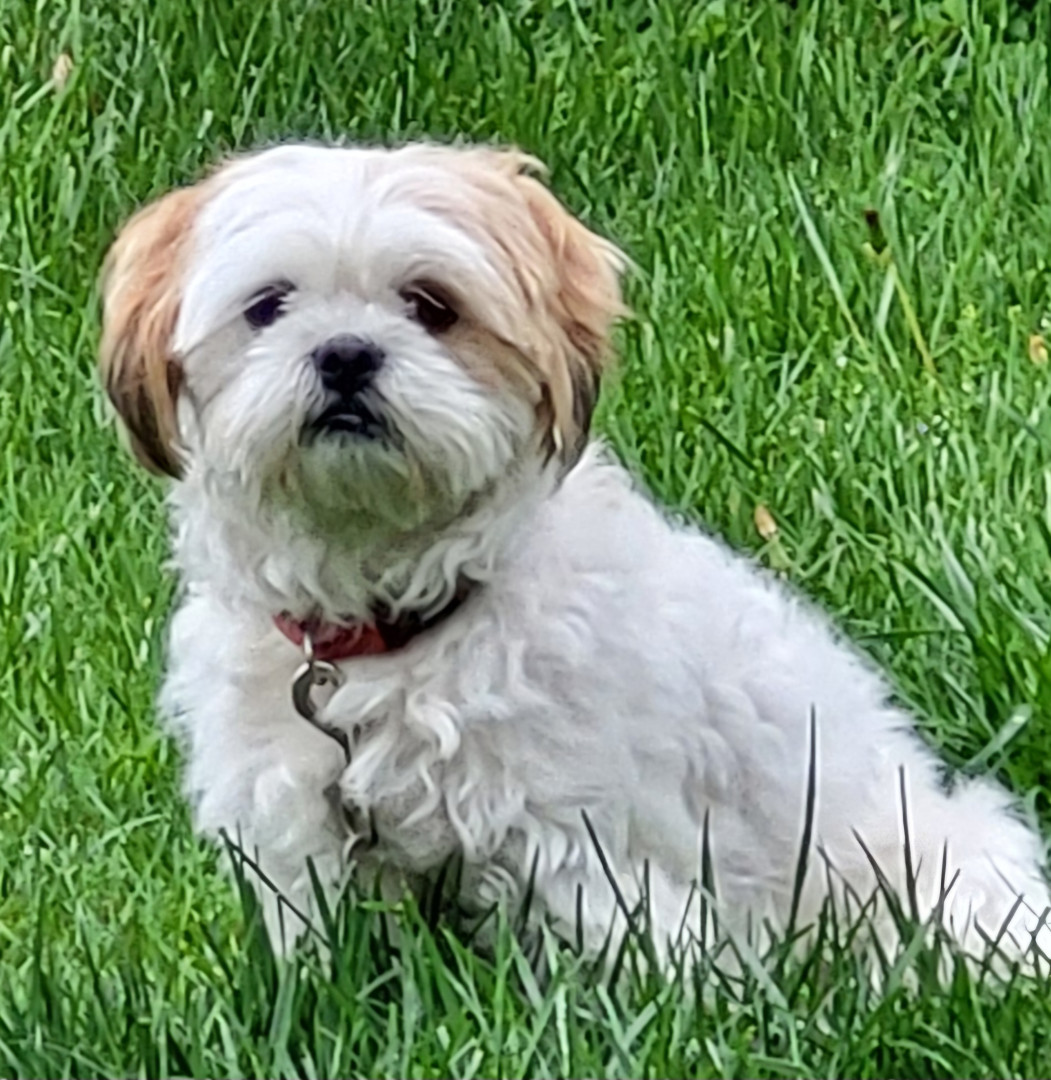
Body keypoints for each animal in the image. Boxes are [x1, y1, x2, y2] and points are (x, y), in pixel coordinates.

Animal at [99, 141, 1050, 970]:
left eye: (431, 306)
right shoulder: (294, 837)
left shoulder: (572, 838)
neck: (386, 631)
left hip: (946, 871)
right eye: (267, 306)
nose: (343, 354)